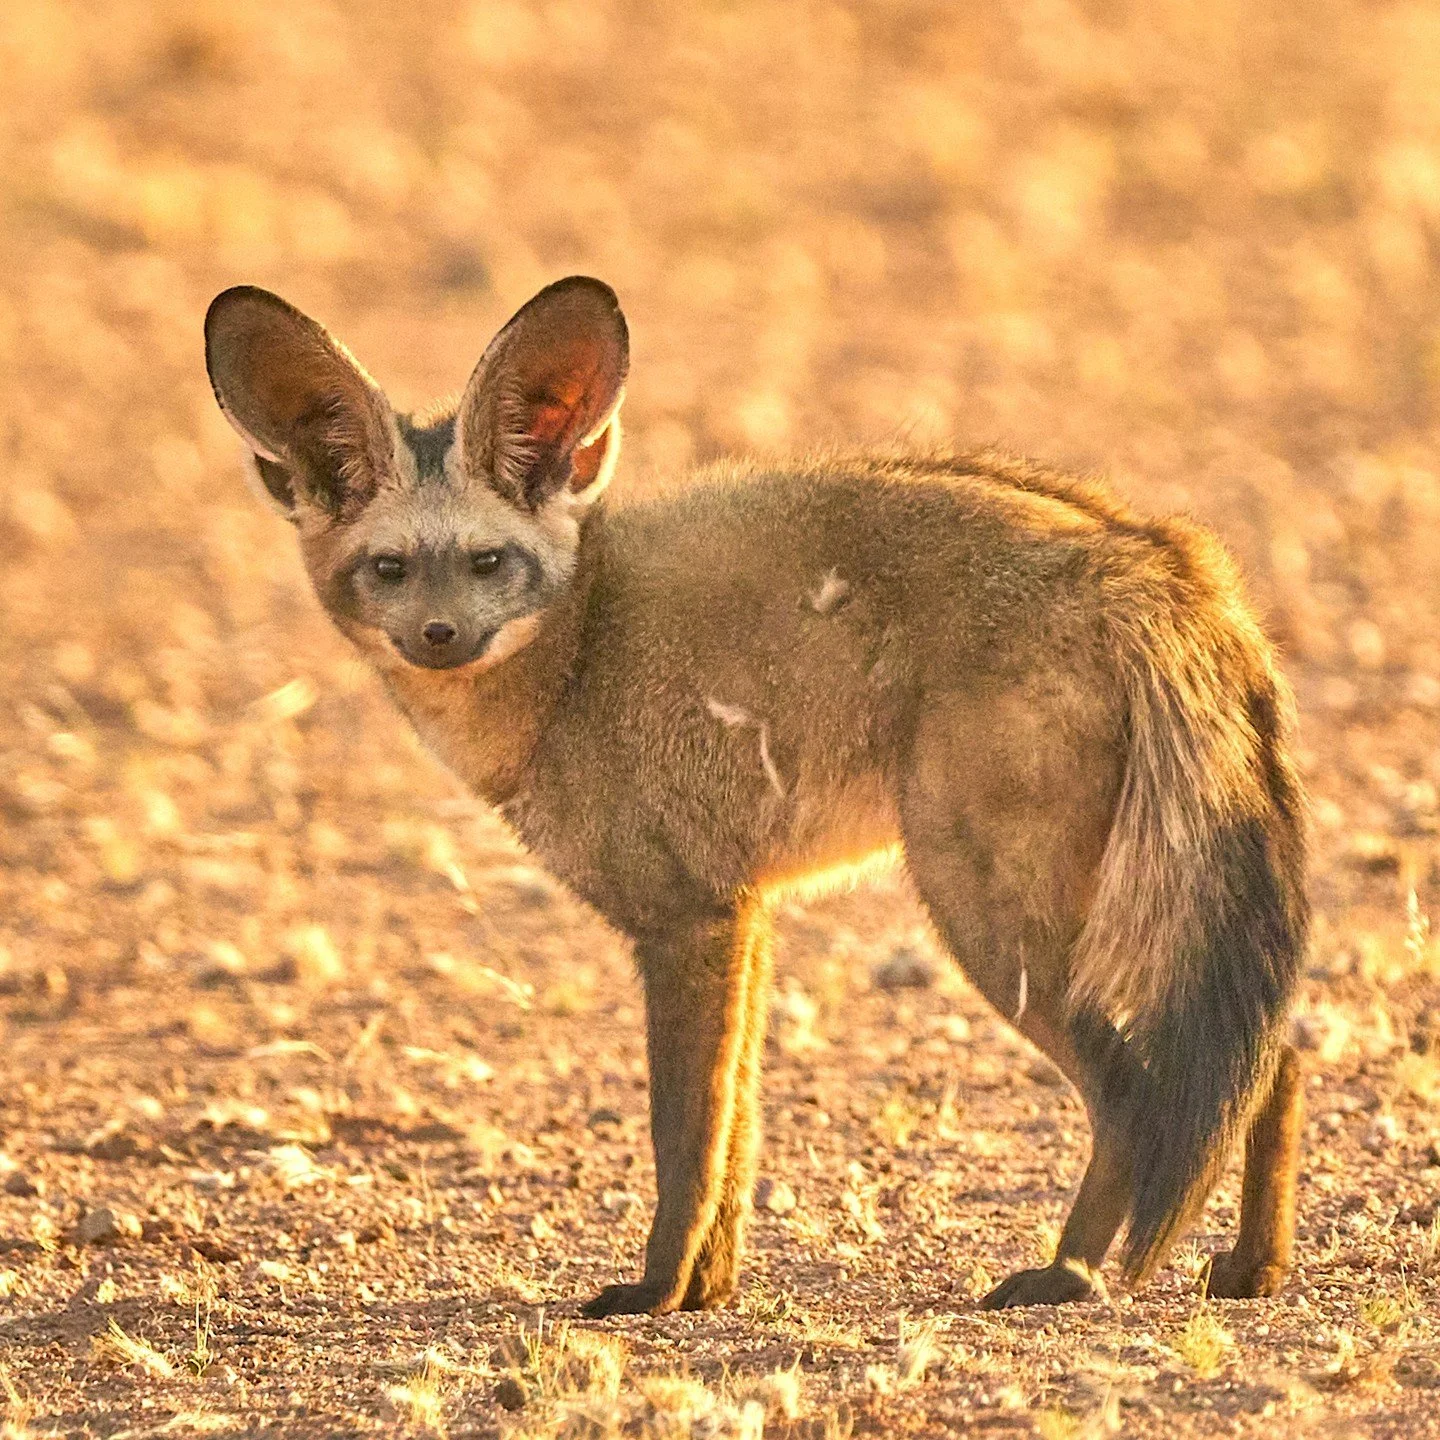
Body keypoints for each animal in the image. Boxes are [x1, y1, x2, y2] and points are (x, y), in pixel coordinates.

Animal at [204, 275, 1307, 1317]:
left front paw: (655, 1294)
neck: (575, 661)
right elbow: (736, 1139)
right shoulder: (747, 914)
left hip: (987, 920)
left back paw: (1068, 1277)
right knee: (1272, 1058)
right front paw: (710, 1293)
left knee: (1138, 1094)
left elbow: (685, 1145)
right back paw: (1251, 1266)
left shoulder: (686, 921)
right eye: (388, 568)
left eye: (488, 562)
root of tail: (1153, 551)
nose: (439, 637)